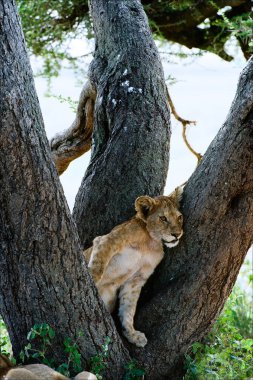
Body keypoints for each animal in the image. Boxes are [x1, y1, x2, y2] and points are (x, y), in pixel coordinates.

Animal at [84, 187, 183, 348]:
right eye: (163, 218)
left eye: (179, 217)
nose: (177, 234)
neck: (150, 242)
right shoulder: (106, 241)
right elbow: (97, 269)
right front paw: (89, 279)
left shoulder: (137, 279)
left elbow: (129, 309)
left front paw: (132, 334)